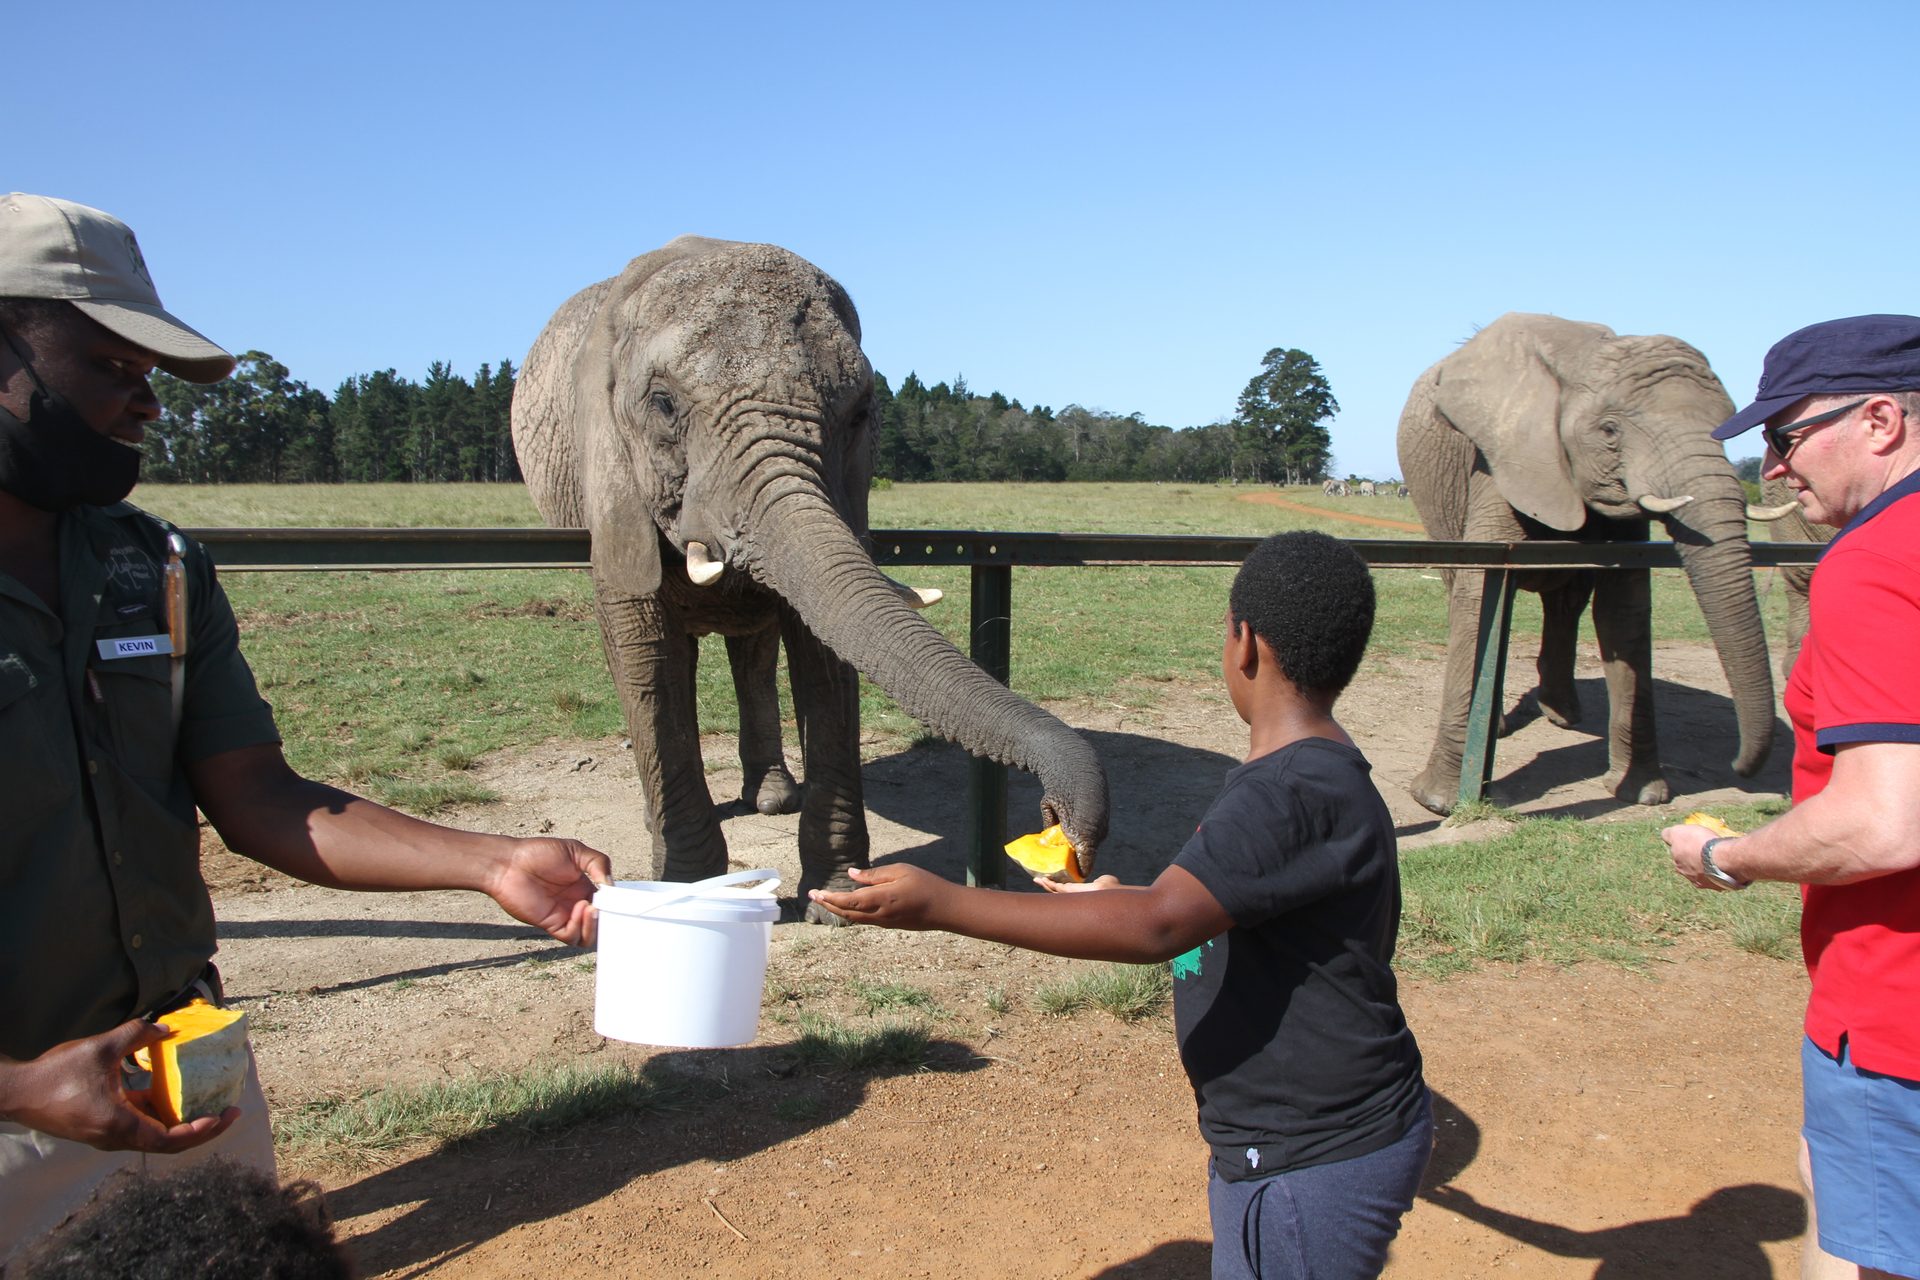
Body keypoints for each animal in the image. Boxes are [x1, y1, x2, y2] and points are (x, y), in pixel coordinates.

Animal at [511, 236, 1110, 919]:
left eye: (860, 413)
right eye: (663, 405)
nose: (1060, 821)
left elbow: (822, 655)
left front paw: (840, 898)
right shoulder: (609, 483)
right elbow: (645, 654)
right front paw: (686, 894)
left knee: (752, 646)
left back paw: (772, 798)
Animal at [1396, 312, 1777, 816]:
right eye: (1610, 431)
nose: (1739, 766)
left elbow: (1625, 607)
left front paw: (1643, 795)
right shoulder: (1503, 457)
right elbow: (1481, 593)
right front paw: (1438, 803)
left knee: (1568, 602)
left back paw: (1563, 715)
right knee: (1461, 581)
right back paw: (1505, 725)